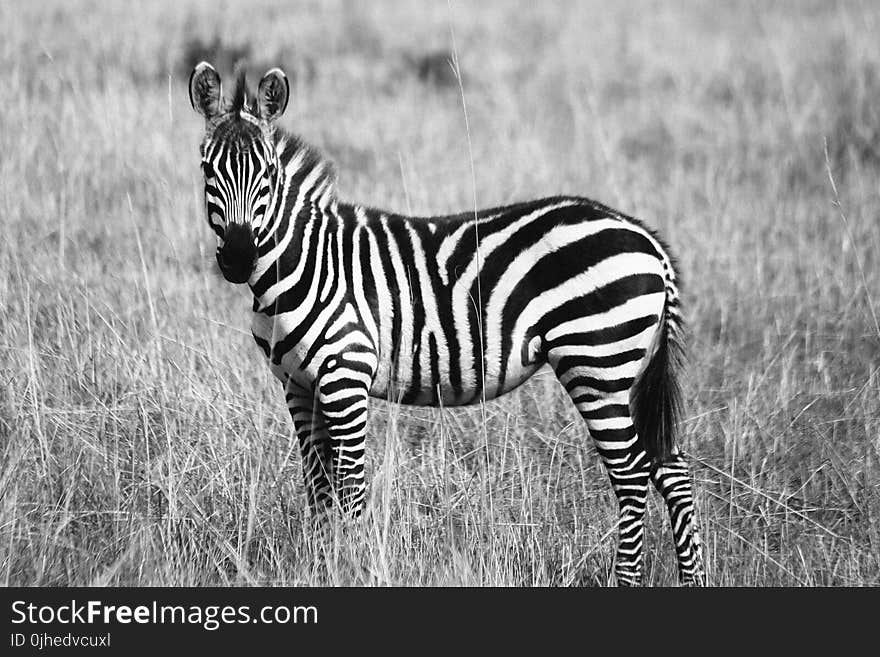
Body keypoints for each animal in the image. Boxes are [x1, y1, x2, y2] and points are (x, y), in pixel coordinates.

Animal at [189, 61, 704, 584]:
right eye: (206, 168)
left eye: (268, 173)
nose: (237, 258)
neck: (305, 263)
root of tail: (648, 240)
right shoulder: (296, 384)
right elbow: (318, 486)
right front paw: (319, 561)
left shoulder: (345, 376)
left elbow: (350, 488)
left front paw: (349, 566)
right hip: (626, 368)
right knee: (671, 468)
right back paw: (693, 577)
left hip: (598, 362)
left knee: (633, 474)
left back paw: (628, 576)